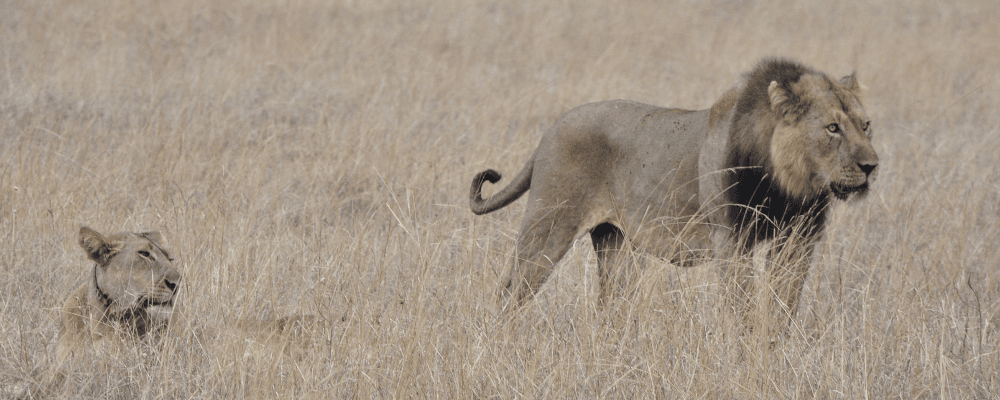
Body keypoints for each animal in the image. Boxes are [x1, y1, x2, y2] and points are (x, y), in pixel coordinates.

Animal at [469, 58, 878, 324]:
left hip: (616, 243)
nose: (871, 166)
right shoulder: (732, 241)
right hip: (549, 223)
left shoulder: (798, 240)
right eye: (832, 128)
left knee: (610, 303)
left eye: (866, 125)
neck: (786, 186)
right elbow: (743, 308)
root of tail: (550, 131)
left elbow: (783, 305)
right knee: (511, 288)